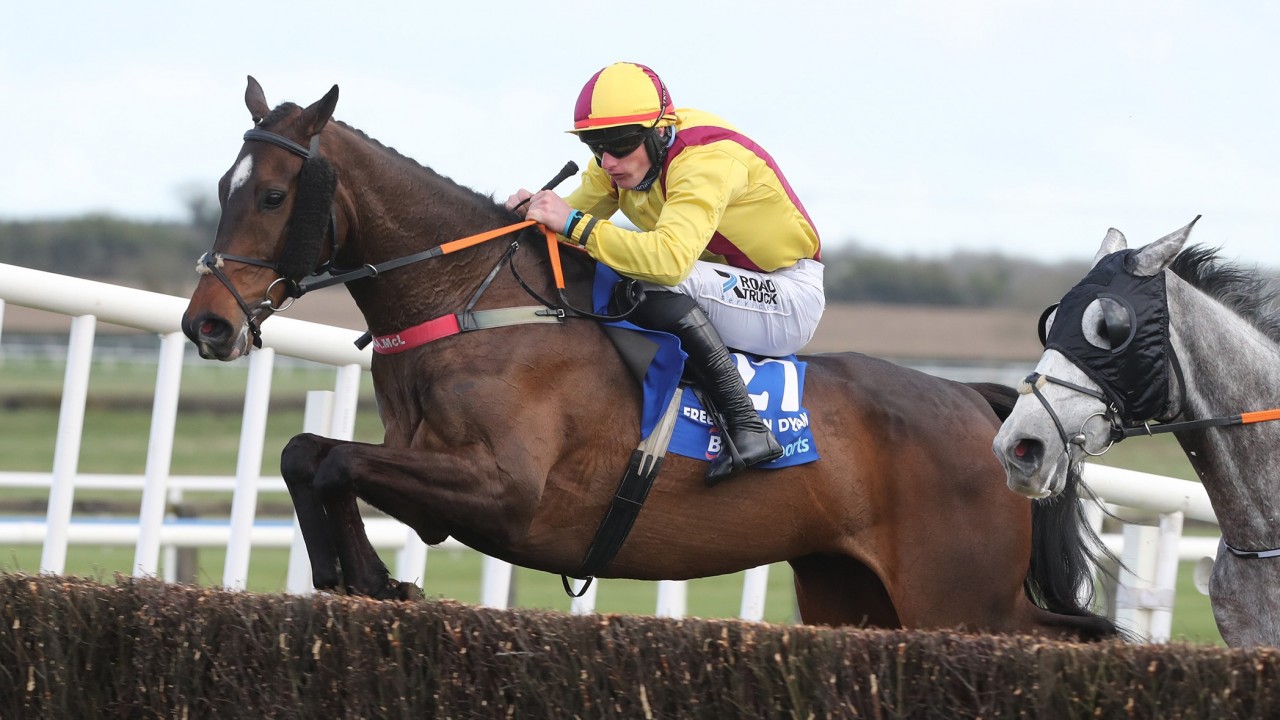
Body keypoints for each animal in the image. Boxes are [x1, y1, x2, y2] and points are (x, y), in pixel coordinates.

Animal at [181, 76, 1117, 640]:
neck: (472, 304)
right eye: (221, 189)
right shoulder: (424, 468)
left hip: (961, 601)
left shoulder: (505, 492)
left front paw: (370, 575)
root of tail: (978, 406)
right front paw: (359, 575)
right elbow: (310, 454)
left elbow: (331, 459)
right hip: (852, 595)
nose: (207, 326)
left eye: (273, 195)